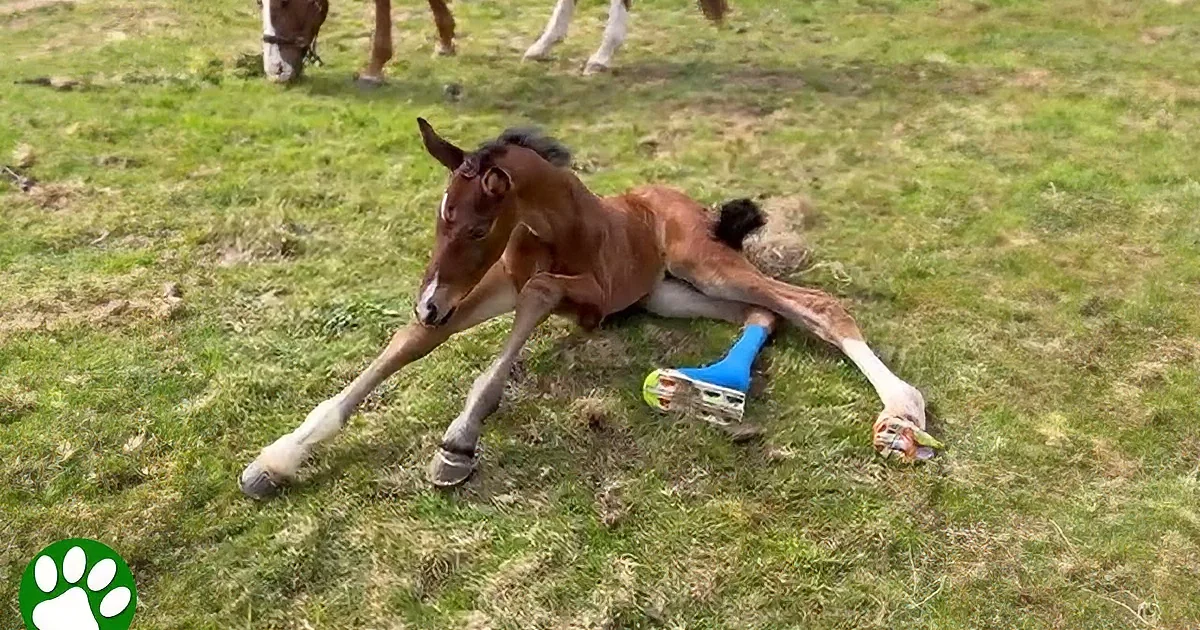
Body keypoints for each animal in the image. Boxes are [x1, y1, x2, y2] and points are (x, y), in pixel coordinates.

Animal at [238, 120, 933, 498]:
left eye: (476, 228)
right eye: (438, 220)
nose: (432, 302)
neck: (556, 228)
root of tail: (700, 208)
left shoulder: (584, 301)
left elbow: (540, 296)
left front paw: (460, 441)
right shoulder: (492, 286)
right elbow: (407, 344)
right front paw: (276, 460)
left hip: (704, 263)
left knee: (816, 305)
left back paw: (901, 408)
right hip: (672, 294)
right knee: (765, 317)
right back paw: (704, 387)